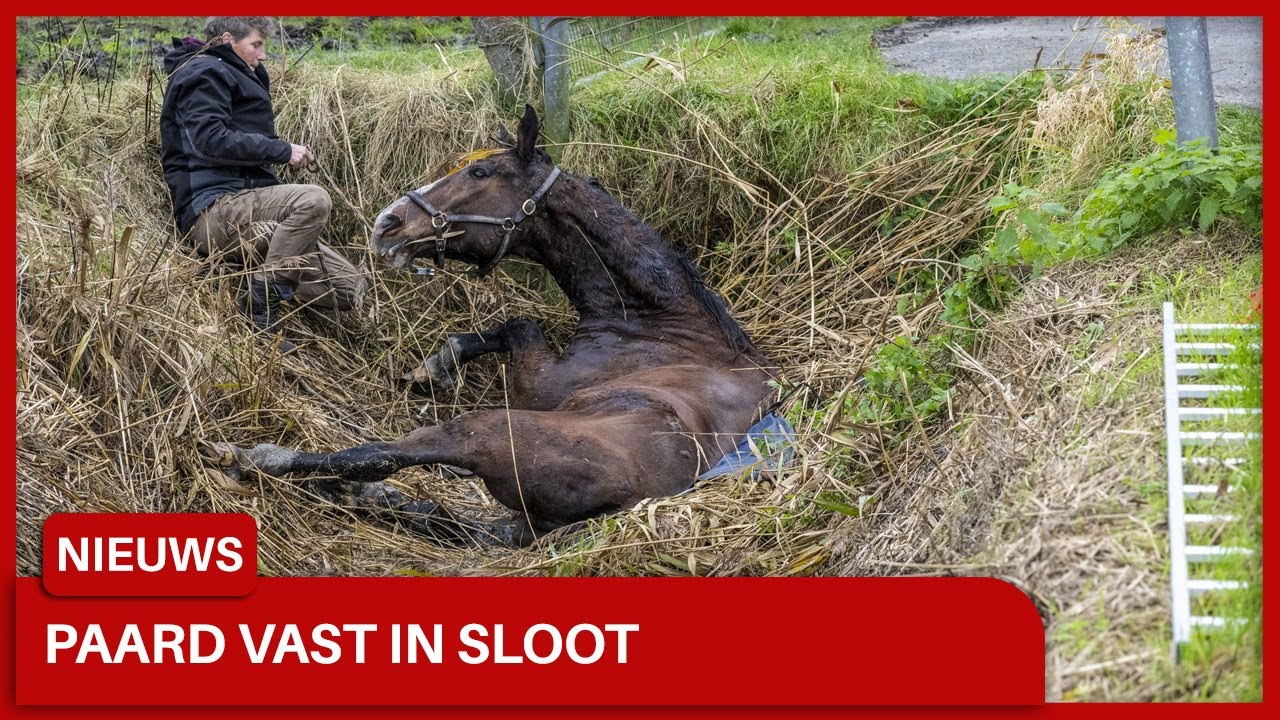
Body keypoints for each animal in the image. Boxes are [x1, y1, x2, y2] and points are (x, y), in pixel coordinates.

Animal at [212, 105, 778, 546]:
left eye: (480, 174)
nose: (386, 224)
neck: (660, 323)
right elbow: (512, 325)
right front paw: (435, 366)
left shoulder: (543, 389)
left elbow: (519, 324)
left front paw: (434, 365)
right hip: (517, 518)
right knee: (447, 518)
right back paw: (370, 497)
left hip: (482, 429)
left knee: (382, 455)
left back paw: (259, 458)